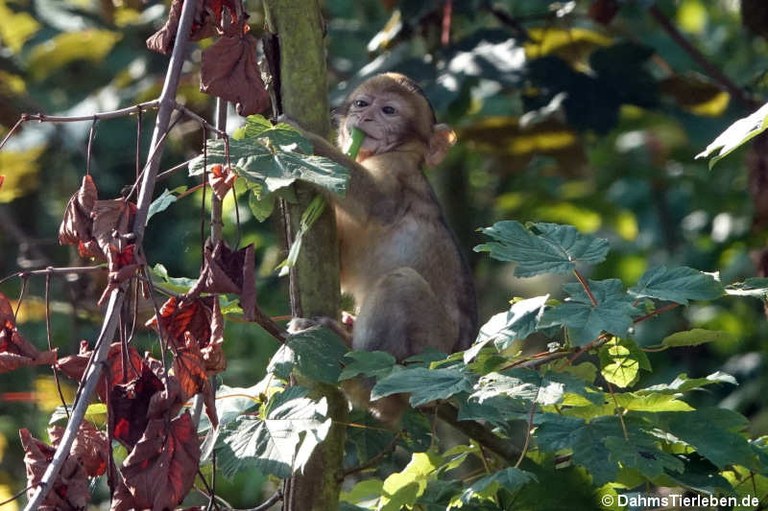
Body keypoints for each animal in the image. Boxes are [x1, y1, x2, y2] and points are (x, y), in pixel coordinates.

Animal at [292, 72, 476, 424]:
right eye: (362, 103)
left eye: (388, 110)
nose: (364, 117)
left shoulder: (397, 168)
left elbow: (375, 204)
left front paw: (301, 142)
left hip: (427, 355)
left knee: (400, 282)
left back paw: (357, 372)